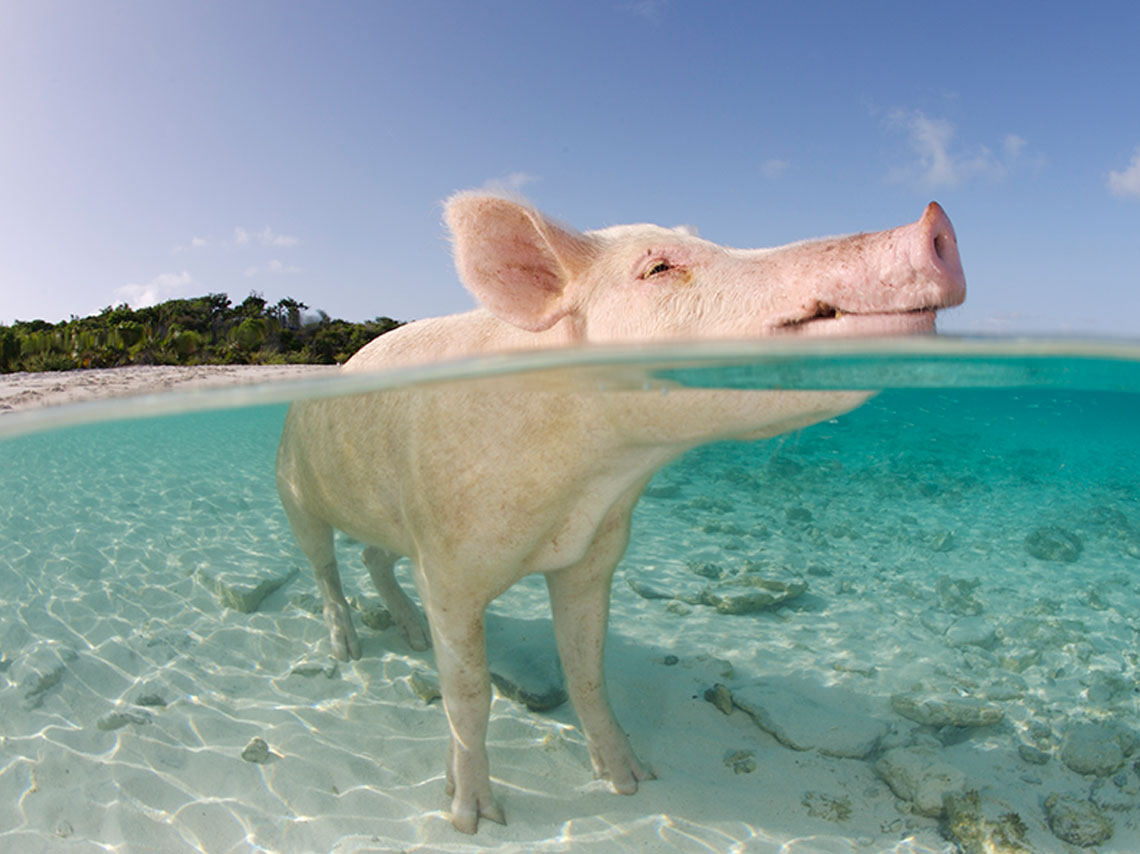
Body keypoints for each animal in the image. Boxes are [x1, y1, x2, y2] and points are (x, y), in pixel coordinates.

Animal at [273, 190, 962, 830]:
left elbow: (587, 672)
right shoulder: (447, 566)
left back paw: (411, 636)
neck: (590, 486)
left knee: (373, 556)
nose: (935, 222)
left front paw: (632, 782)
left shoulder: (594, 554)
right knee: (325, 566)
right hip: (293, 488)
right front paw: (473, 819)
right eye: (658, 267)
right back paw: (347, 651)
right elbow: (468, 697)